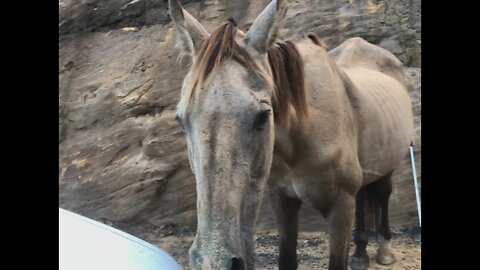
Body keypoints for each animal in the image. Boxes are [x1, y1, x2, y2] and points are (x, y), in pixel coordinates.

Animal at [168, 0, 412, 270]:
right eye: (181, 119)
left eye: (263, 116)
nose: (214, 261)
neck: (305, 136)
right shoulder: (283, 200)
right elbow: (287, 258)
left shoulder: (341, 207)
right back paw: (360, 255)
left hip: (388, 165)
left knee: (383, 195)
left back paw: (384, 249)